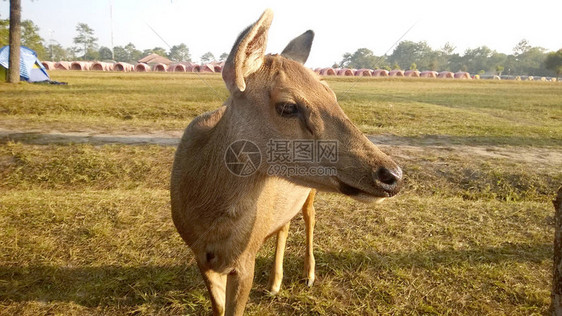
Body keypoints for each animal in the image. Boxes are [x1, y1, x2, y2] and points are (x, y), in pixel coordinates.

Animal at [168, 8, 400, 314]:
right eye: (288, 106)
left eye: (331, 94)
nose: (392, 175)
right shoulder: (199, 256)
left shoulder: (245, 259)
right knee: (286, 223)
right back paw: (275, 283)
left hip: (310, 193)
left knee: (310, 216)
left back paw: (308, 274)